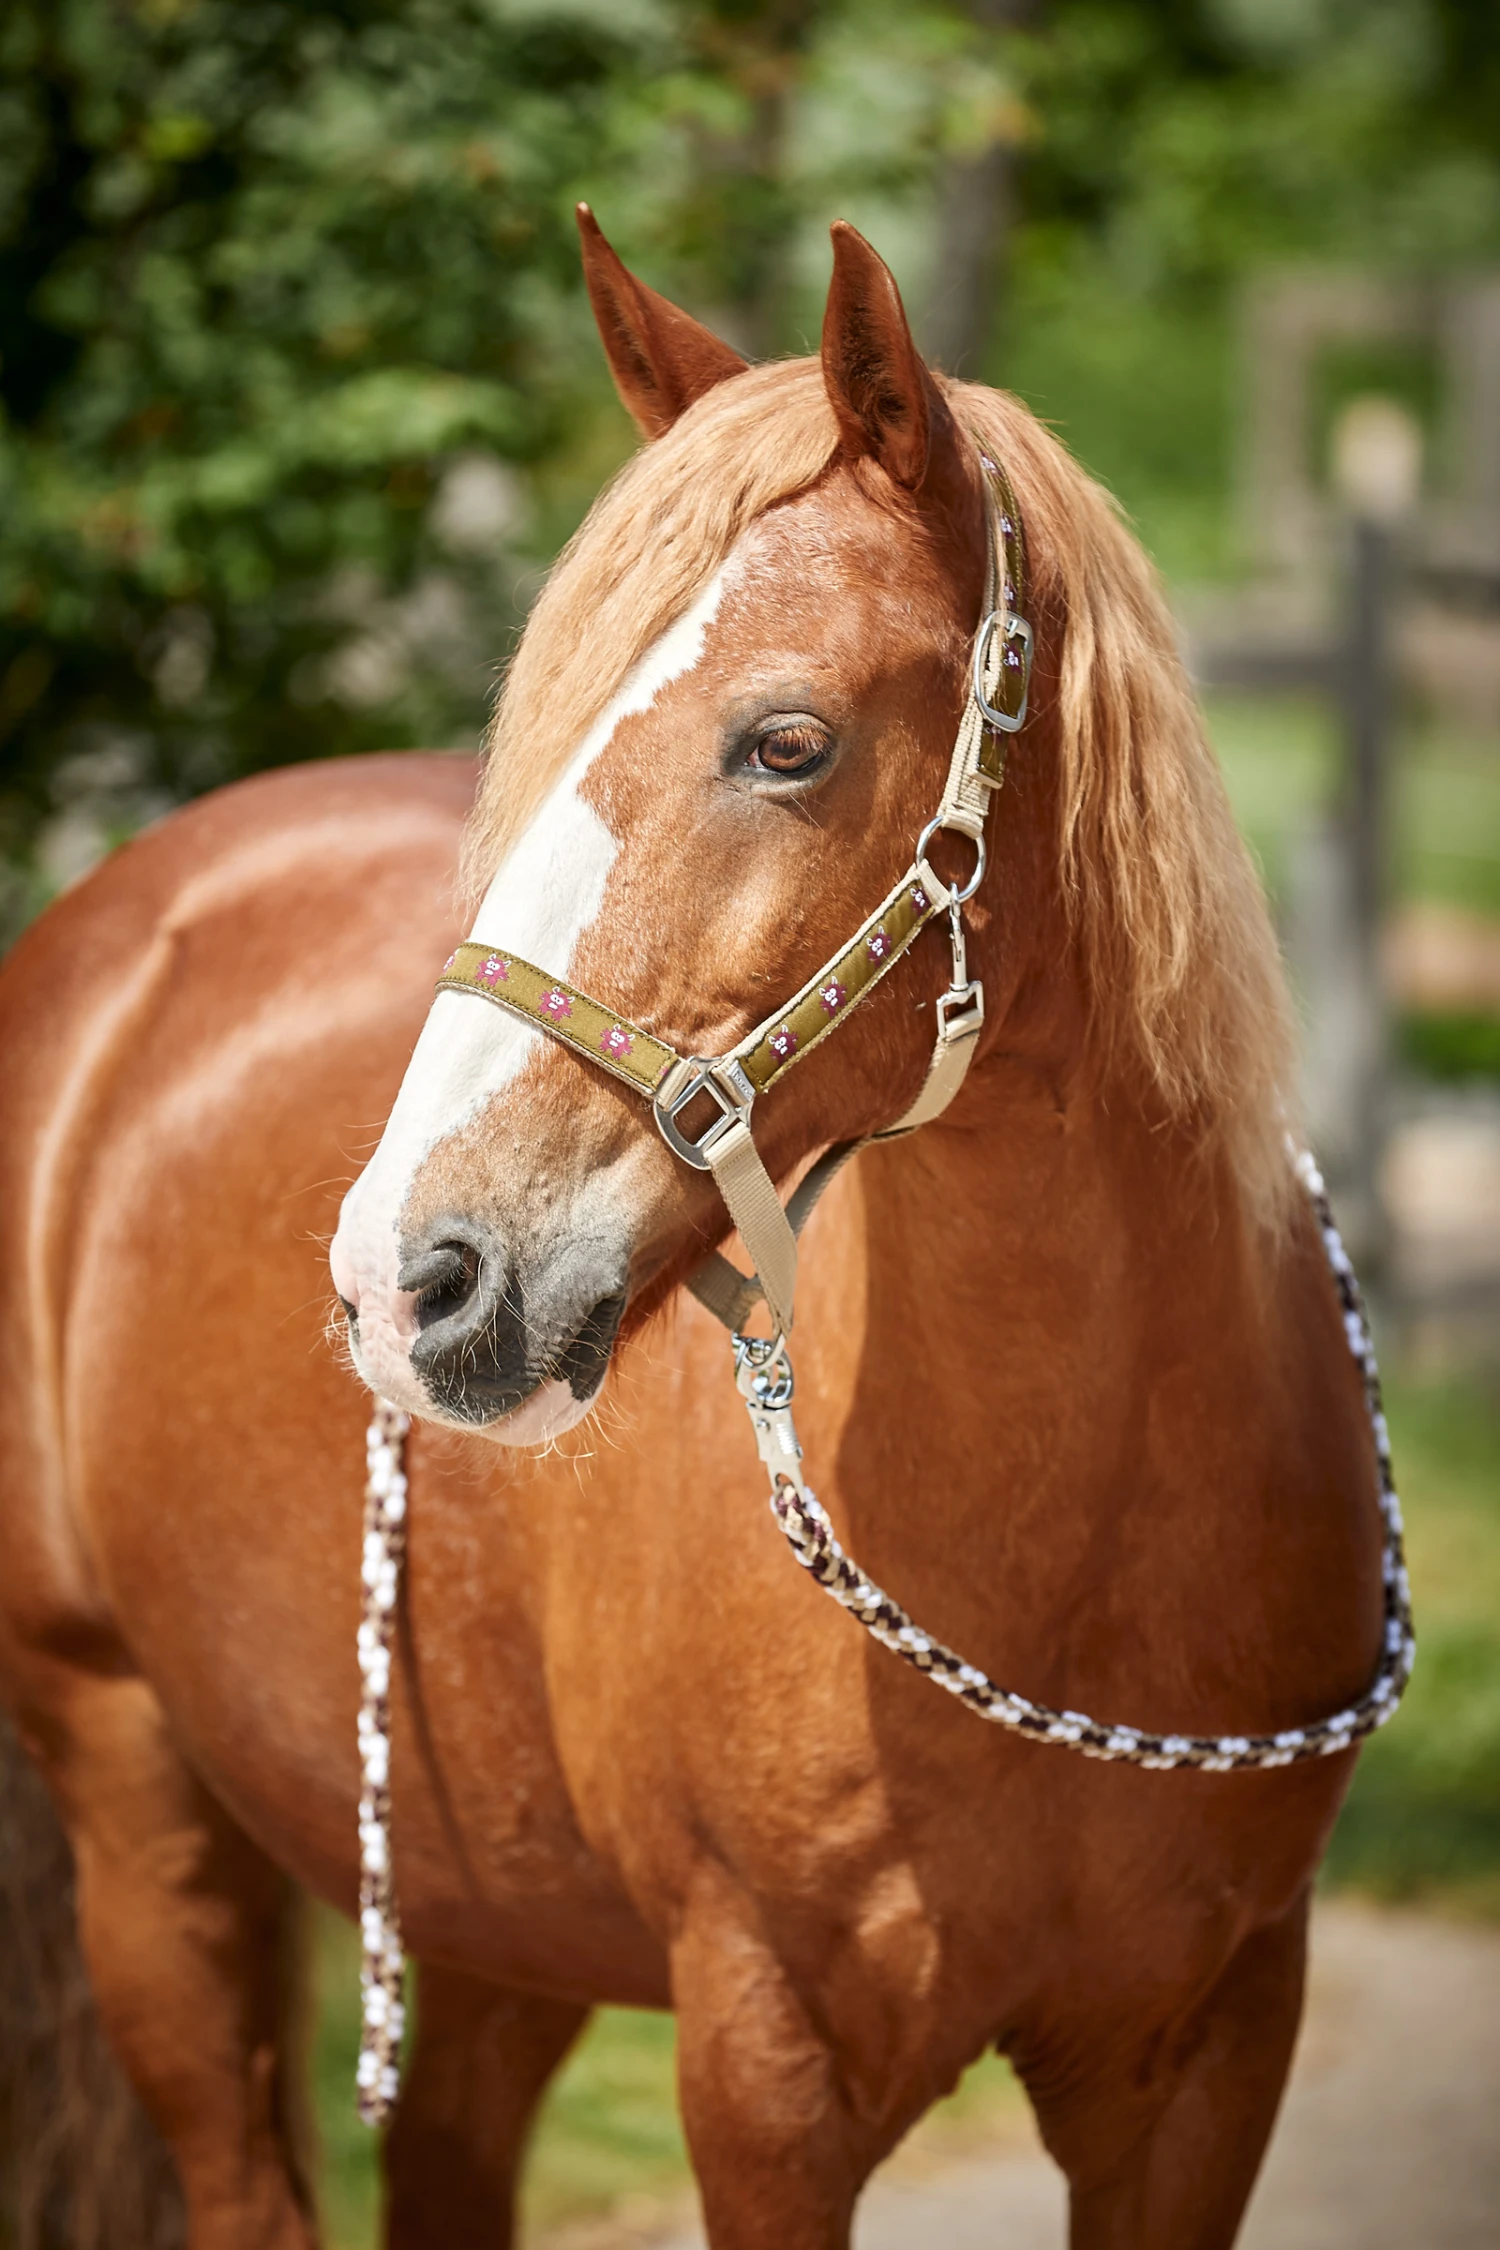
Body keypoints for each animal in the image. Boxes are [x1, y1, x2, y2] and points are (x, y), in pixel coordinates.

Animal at [0, 213, 1392, 2250]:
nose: (406, 1276)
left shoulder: (1208, 2064)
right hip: (139, 1814)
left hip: (478, 1924)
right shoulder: (764, 2066)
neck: (1073, 1560)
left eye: (787, 742)